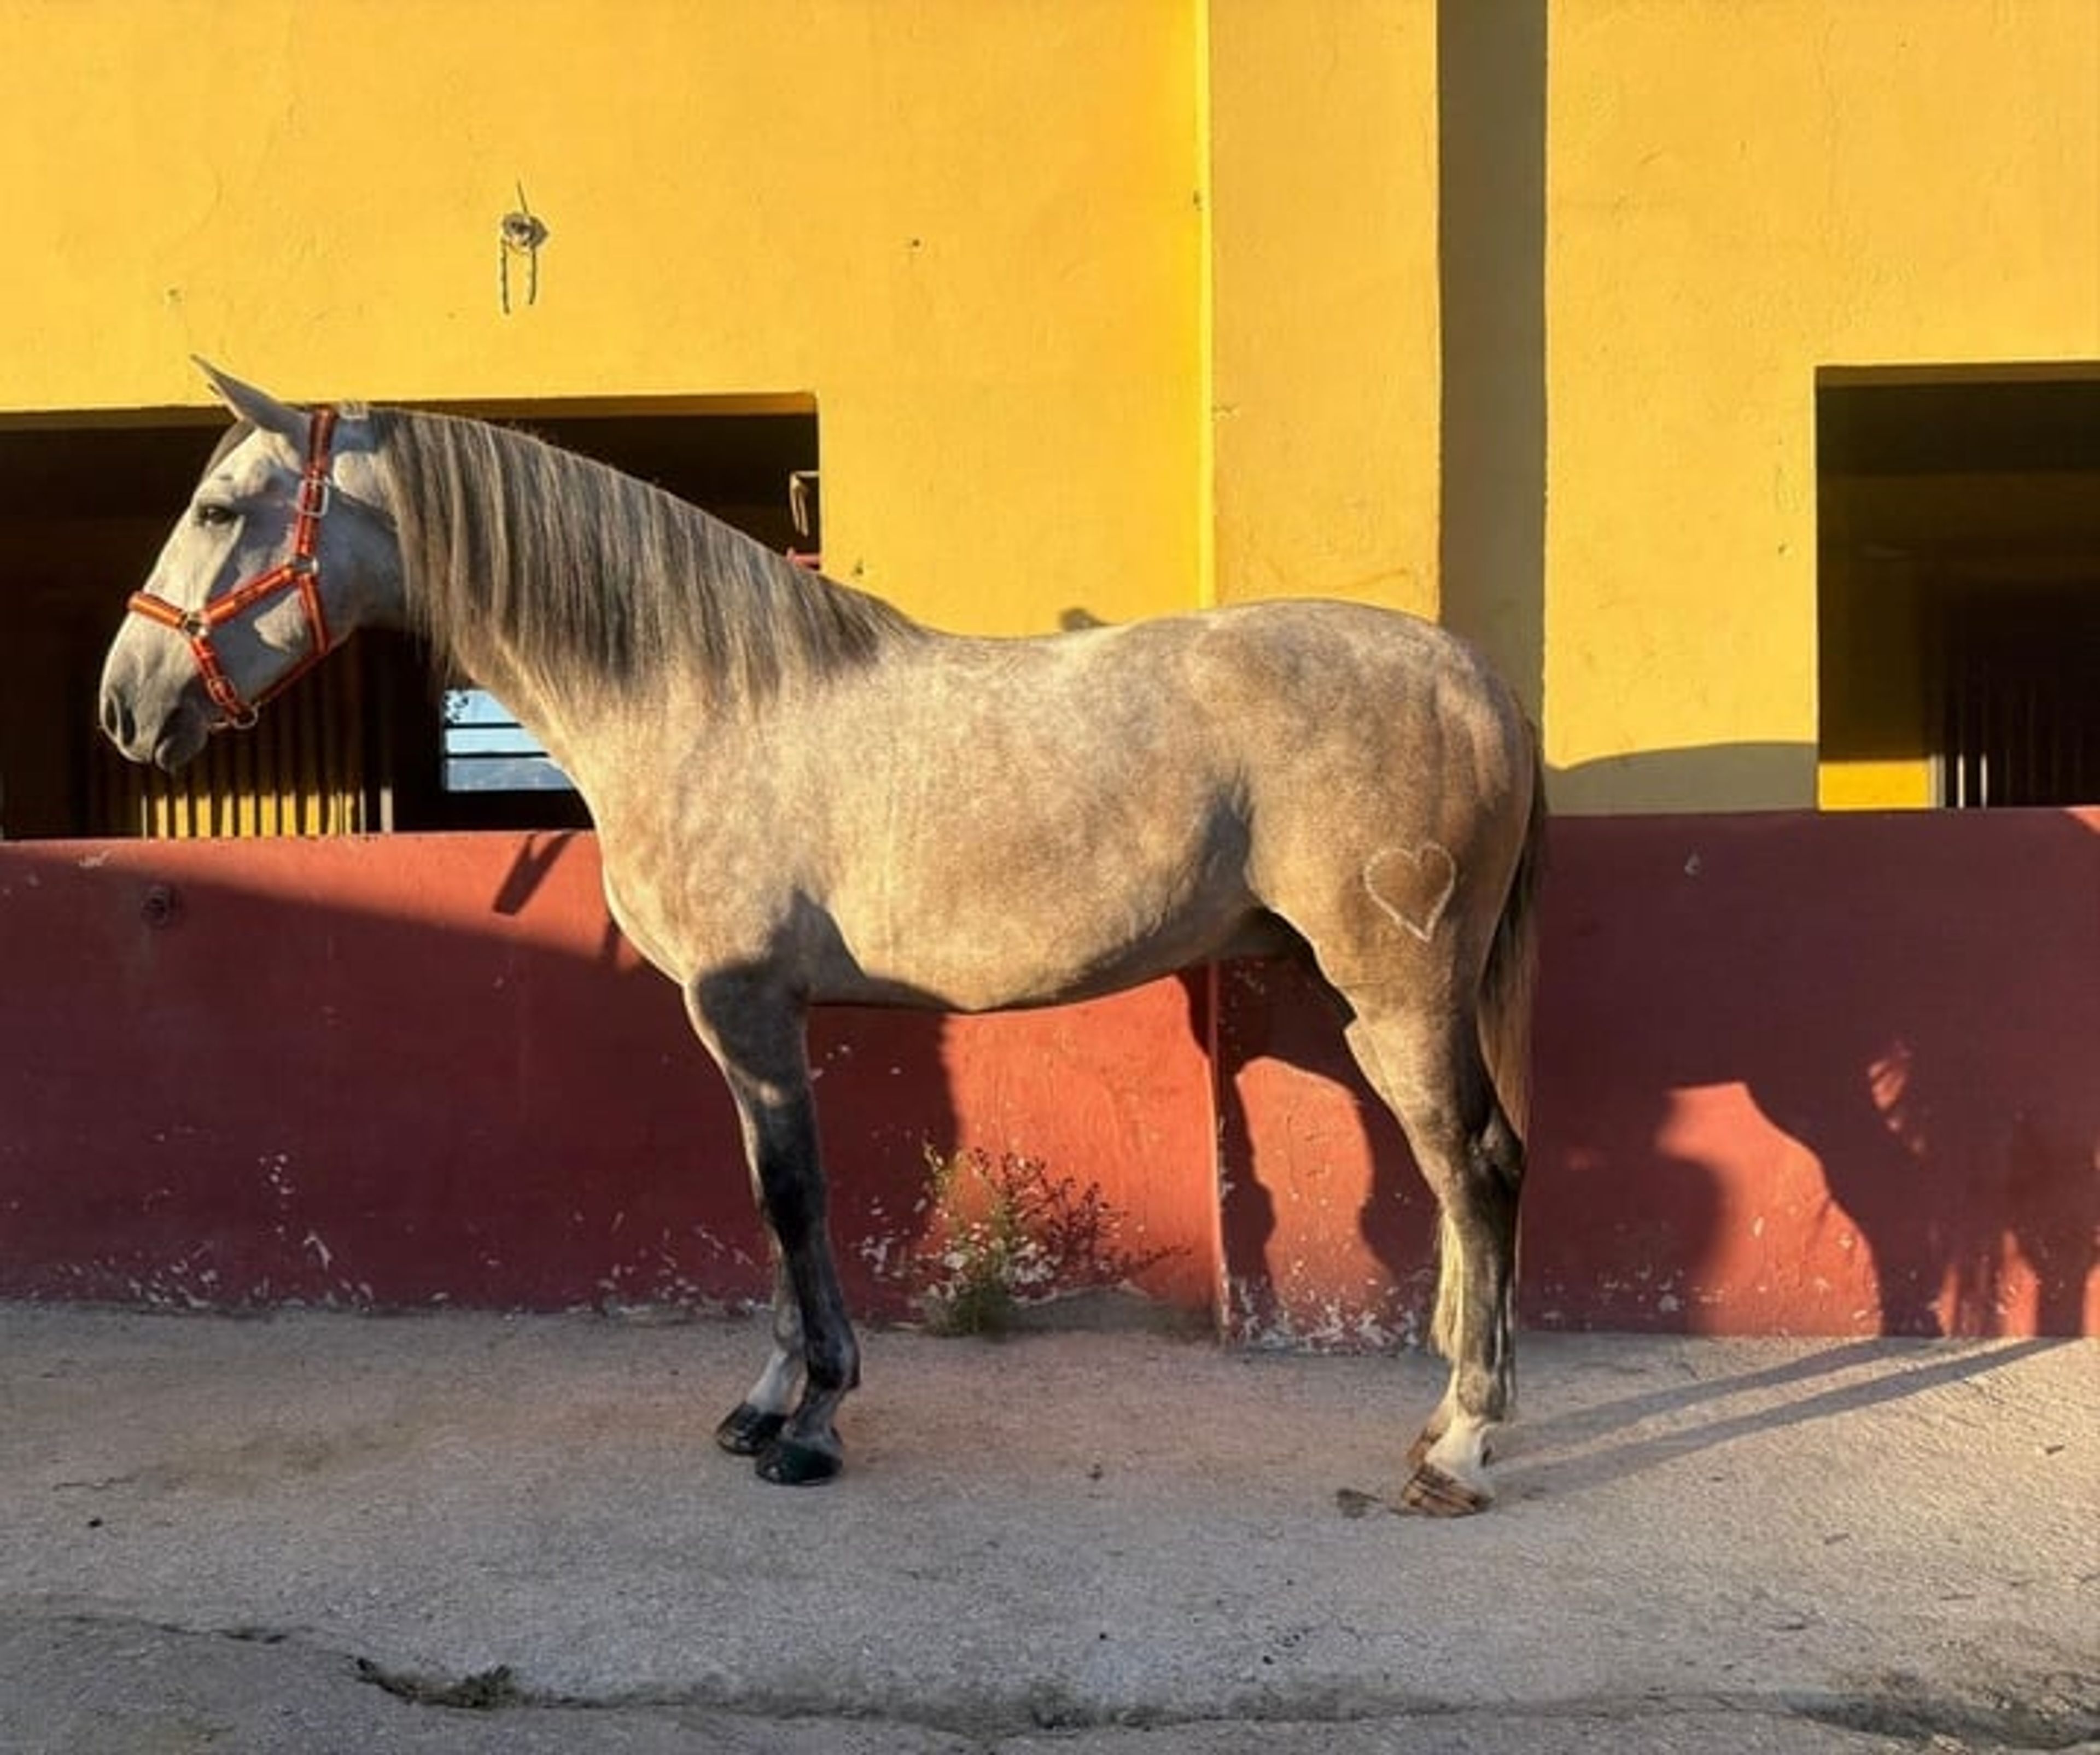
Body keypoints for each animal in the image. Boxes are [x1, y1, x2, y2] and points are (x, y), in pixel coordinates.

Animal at [99, 362, 1545, 1515]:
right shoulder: (744, 1018)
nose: (125, 702)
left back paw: (1461, 1444)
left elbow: (793, 1196)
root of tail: (1477, 678)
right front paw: (764, 1400)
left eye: (219, 509)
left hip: (1400, 992)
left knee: (1477, 1170)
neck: (702, 699)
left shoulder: (745, 1004)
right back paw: (1445, 1405)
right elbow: (765, 1195)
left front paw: (812, 1421)